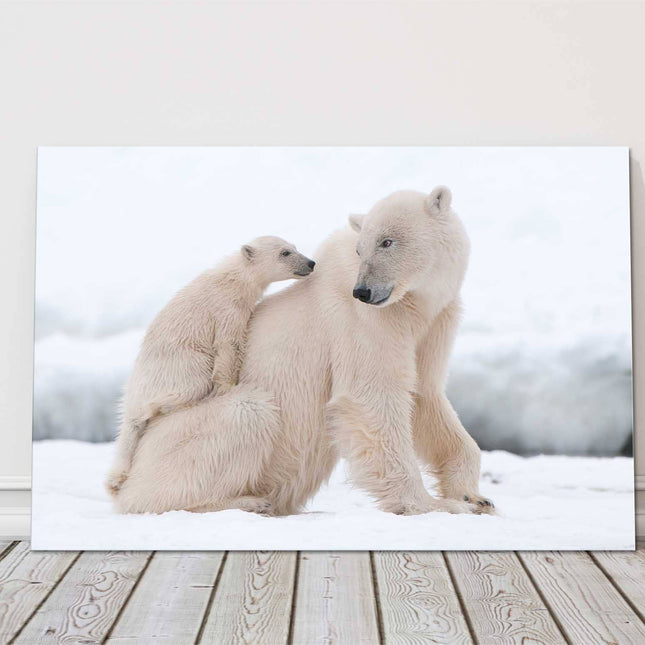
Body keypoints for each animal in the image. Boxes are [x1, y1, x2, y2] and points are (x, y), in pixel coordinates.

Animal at [105, 236, 315, 497]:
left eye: (295, 247)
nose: (311, 263)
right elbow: (228, 346)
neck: (232, 279)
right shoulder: (226, 310)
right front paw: (228, 387)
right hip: (179, 367)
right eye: (285, 252)